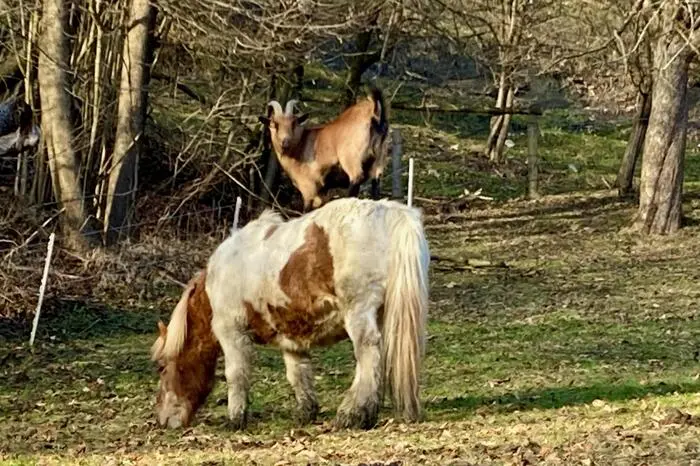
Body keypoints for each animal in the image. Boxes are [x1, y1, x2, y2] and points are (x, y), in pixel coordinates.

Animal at [150, 197, 430, 430]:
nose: (163, 420)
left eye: (162, 368)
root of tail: (391, 212)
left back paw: (352, 414)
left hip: (359, 315)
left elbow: (236, 375)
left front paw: (235, 419)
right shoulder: (291, 337)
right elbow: (298, 374)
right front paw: (306, 412)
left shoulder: (232, 333)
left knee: (367, 356)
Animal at [258, 88, 390, 212]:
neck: (300, 144)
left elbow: (306, 209)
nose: (285, 142)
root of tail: (374, 112)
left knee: (356, 178)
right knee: (376, 184)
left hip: (351, 158)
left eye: (294, 123)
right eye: (274, 124)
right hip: (379, 159)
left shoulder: (308, 188)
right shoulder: (322, 193)